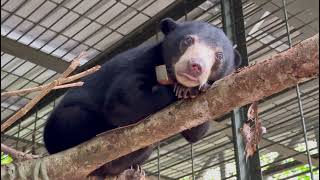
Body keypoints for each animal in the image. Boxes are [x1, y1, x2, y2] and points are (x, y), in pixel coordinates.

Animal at [43, 18, 241, 177]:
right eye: (187, 40)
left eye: (219, 55)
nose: (196, 66)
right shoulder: (141, 61)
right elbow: (123, 101)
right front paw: (181, 90)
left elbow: (194, 131)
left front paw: (194, 89)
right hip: (62, 126)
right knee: (78, 118)